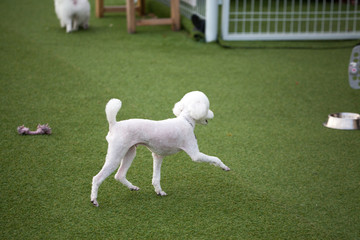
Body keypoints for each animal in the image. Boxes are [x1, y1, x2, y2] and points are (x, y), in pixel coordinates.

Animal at [90, 91, 231, 207]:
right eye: (207, 108)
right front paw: (224, 167)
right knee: (97, 178)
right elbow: (215, 158)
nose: (212, 114)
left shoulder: (158, 156)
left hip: (130, 152)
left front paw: (159, 191)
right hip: (116, 155)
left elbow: (156, 178)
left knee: (119, 175)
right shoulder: (195, 154)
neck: (186, 120)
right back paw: (94, 200)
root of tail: (114, 125)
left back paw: (132, 187)